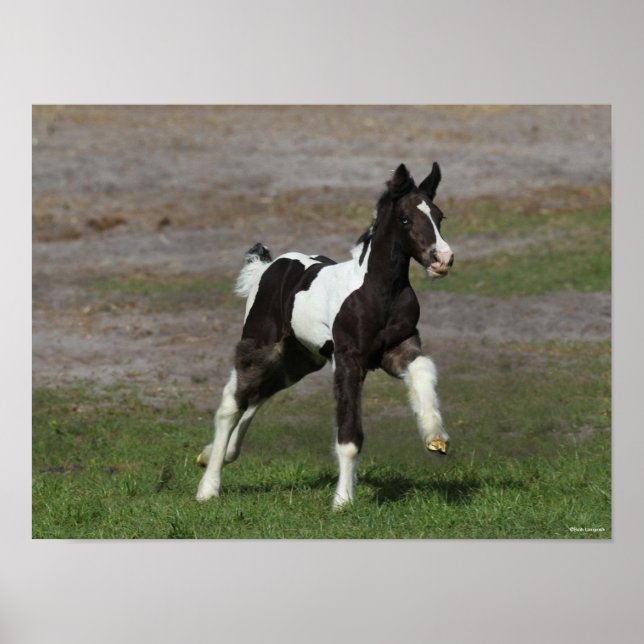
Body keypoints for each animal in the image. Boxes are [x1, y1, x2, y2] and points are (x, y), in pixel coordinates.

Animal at [196, 162, 455, 508]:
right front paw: (343, 501)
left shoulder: (399, 348)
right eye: (405, 219)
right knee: (231, 404)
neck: (377, 291)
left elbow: (424, 370)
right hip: (260, 345)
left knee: (260, 394)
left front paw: (435, 436)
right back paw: (208, 487)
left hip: (300, 359)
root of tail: (268, 267)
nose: (443, 259)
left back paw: (218, 455)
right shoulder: (348, 361)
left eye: (439, 216)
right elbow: (349, 436)